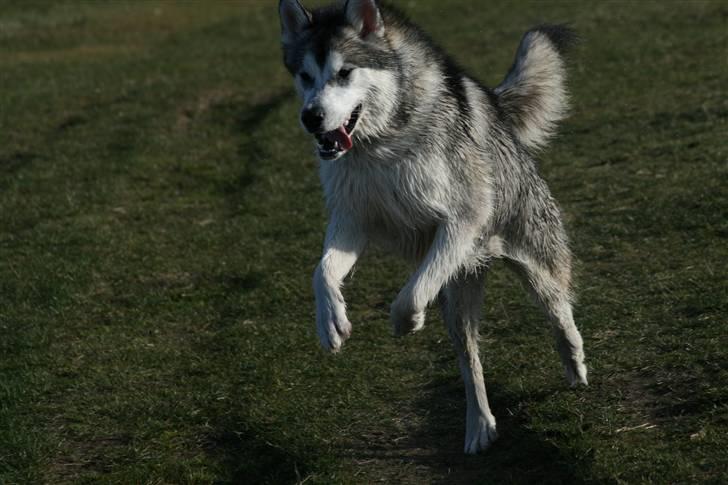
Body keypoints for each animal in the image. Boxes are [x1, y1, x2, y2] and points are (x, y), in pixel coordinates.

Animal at [276, 0, 588, 454]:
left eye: (345, 72)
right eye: (304, 76)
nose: (311, 117)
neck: (380, 144)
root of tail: (496, 107)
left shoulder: (462, 218)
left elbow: (408, 297)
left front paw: (407, 323)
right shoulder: (353, 219)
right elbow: (322, 272)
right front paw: (330, 322)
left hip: (532, 257)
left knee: (557, 306)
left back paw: (574, 361)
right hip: (457, 302)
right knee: (470, 360)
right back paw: (479, 425)